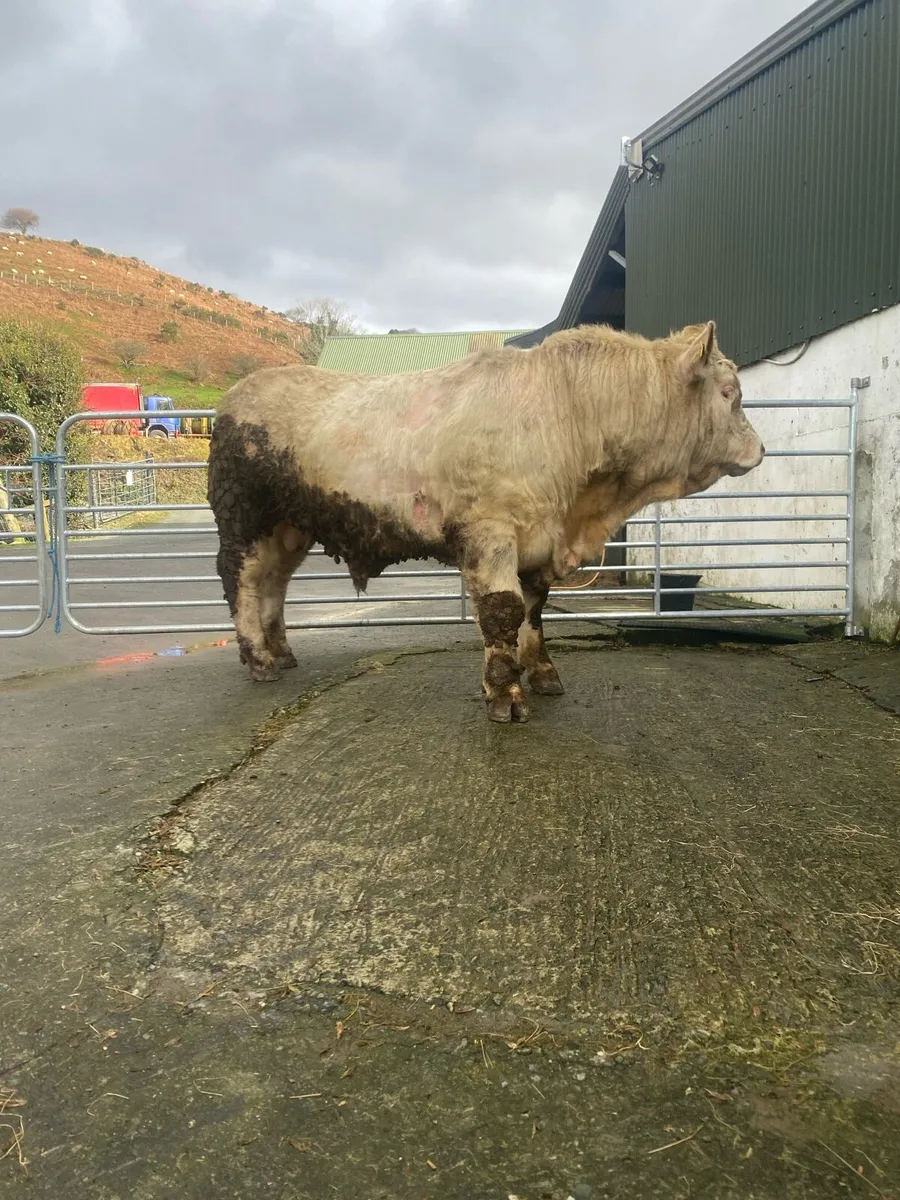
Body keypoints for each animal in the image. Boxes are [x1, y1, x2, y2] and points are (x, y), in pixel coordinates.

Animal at [207, 320, 764, 722]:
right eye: (729, 391)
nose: (761, 449)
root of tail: (238, 395)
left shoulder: (540, 539)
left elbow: (534, 610)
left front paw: (542, 672)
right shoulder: (491, 529)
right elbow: (503, 610)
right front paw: (504, 692)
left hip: (289, 528)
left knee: (274, 584)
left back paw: (281, 651)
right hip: (245, 519)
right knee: (243, 582)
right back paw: (259, 660)